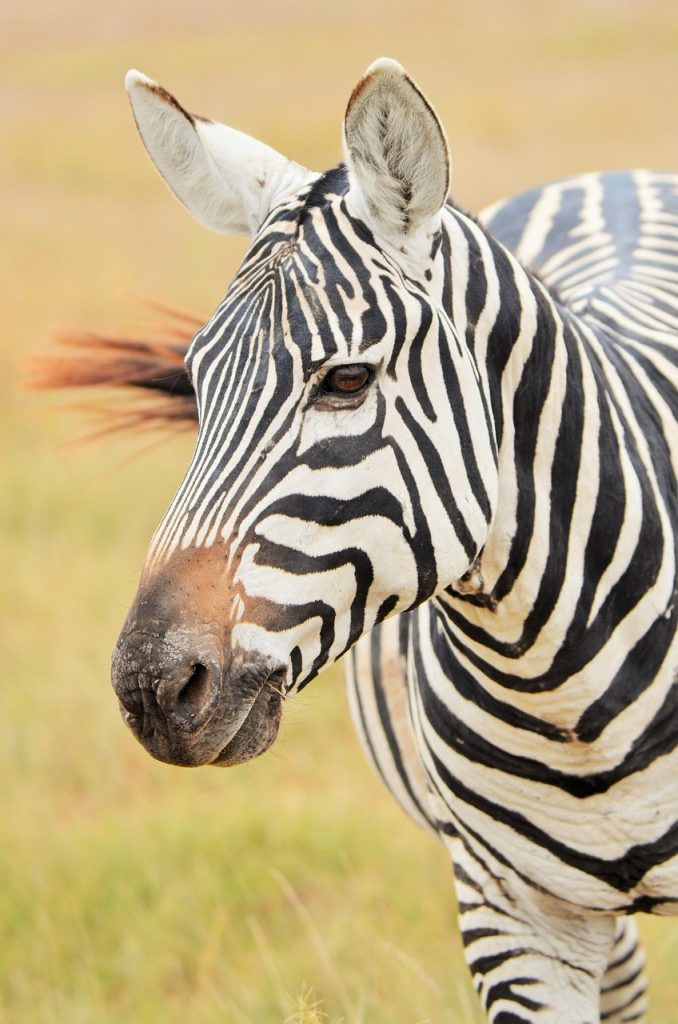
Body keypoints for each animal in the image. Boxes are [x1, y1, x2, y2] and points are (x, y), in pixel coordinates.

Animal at [98, 59, 677, 1022]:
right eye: (197, 382)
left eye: (345, 380)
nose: (151, 688)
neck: (563, 683)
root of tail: (615, 178)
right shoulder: (512, 913)